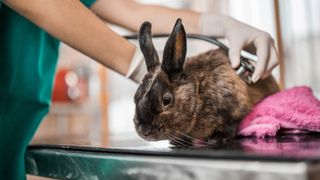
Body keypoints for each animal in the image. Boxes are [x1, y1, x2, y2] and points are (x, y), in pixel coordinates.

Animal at [134, 18, 278, 145]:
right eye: (135, 97)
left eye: (166, 100)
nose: (144, 131)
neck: (198, 92)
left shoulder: (234, 109)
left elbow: (231, 125)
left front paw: (217, 139)